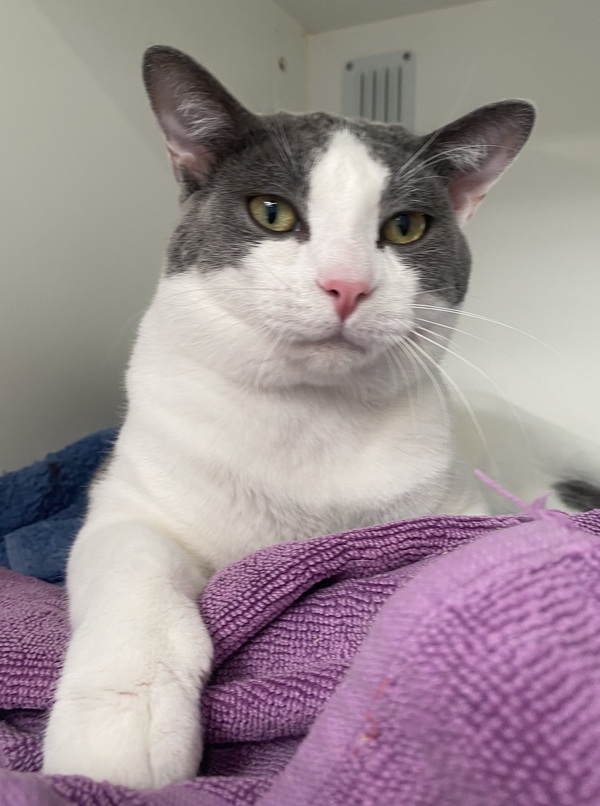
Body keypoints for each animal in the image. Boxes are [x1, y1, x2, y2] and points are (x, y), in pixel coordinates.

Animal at [42, 45, 535, 788]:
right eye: (271, 212)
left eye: (405, 227)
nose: (347, 285)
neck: (311, 417)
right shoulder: (128, 504)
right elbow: (135, 575)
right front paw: (115, 737)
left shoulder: (456, 507)